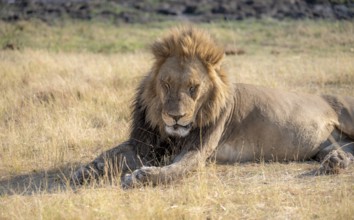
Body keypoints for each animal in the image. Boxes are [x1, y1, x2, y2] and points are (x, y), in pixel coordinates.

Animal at [72, 25, 354, 187]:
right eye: (166, 84)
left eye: (193, 88)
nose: (175, 117)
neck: (169, 132)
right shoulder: (144, 144)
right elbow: (108, 155)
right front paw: (84, 171)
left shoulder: (197, 150)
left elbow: (176, 170)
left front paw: (142, 177)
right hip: (326, 144)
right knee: (347, 150)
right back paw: (336, 162)